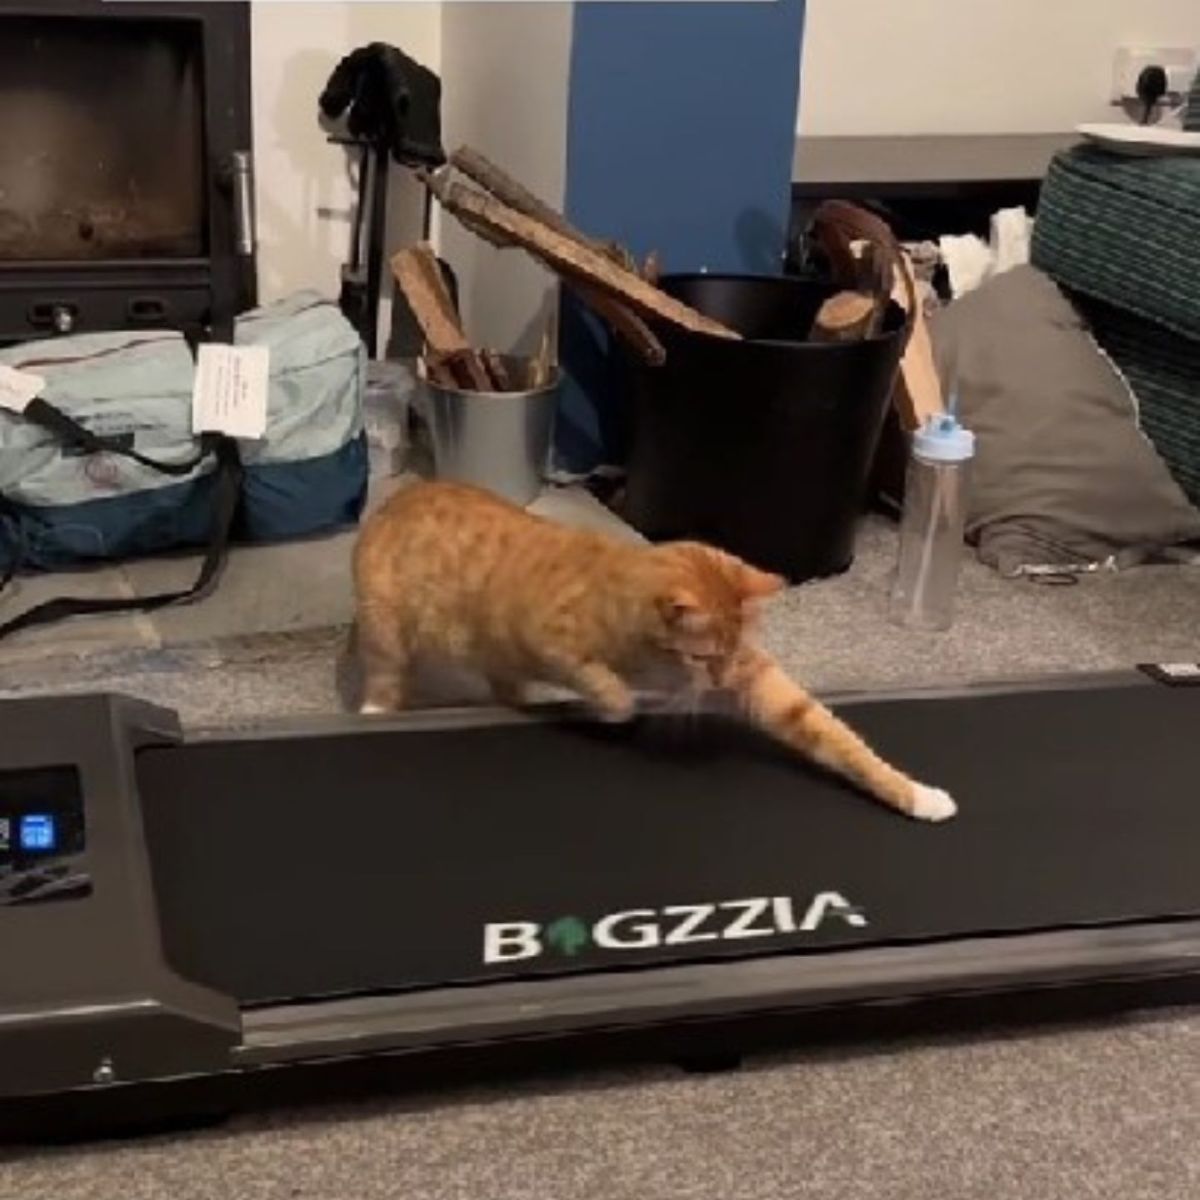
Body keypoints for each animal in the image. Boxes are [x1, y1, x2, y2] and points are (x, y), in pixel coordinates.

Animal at [348, 482, 955, 820]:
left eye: (731, 653)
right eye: (705, 657)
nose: (720, 679)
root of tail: (400, 495)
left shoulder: (759, 679)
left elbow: (834, 737)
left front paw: (914, 794)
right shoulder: (545, 639)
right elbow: (597, 677)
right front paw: (620, 706)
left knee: (504, 683)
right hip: (386, 628)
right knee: (384, 675)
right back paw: (377, 712)